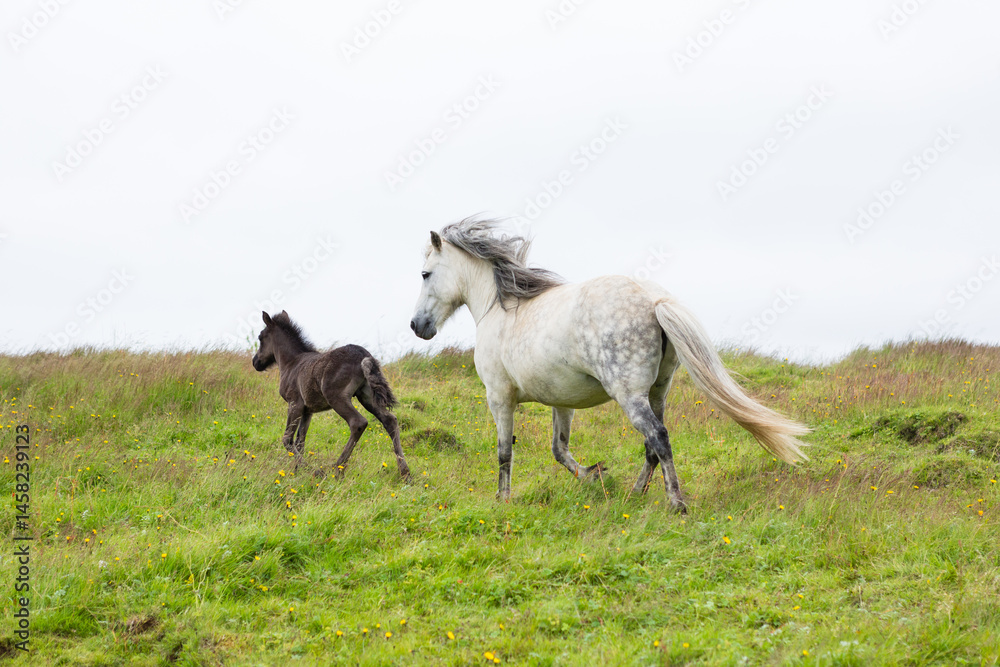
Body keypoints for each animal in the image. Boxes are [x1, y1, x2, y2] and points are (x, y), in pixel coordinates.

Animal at [252, 311, 412, 482]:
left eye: (260, 337)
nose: (255, 362)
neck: (291, 363)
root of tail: (364, 355)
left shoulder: (294, 403)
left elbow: (287, 438)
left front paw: (313, 470)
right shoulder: (308, 410)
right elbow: (301, 441)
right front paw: (298, 471)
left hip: (336, 397)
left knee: (358, 422)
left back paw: (337, 469)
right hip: (367, 396)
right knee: (390, 420)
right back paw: (405, 473)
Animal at [409, 218, 809, 512]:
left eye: (425, 274)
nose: (417, 326)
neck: (501, 308)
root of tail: (654, 300)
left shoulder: (499, 397)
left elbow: (504, 451)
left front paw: (502, 500)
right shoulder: (562, 403)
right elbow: (559, 449)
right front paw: (593, 475)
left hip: (628, 395)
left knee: (658, 438)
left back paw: (675, 503)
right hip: (657, 392)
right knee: (651, 445)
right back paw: (635, 494)